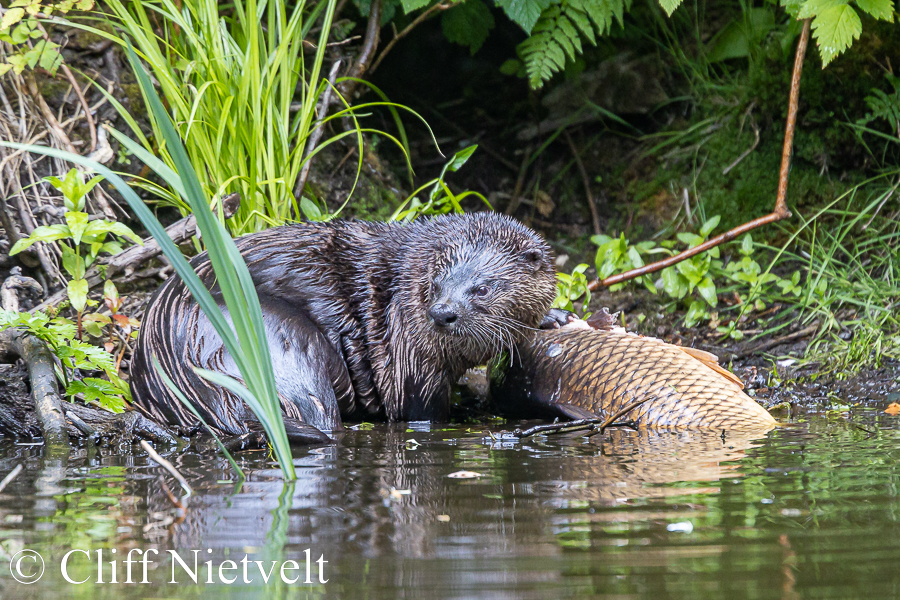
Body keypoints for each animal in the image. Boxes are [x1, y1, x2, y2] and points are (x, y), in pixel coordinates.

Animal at [129, 213, 559, 440]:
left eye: (482, 287)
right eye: (436, 285)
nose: (442, 313)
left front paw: (554, 317)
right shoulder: (409, 356)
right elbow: (417, 411)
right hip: (279, 337)